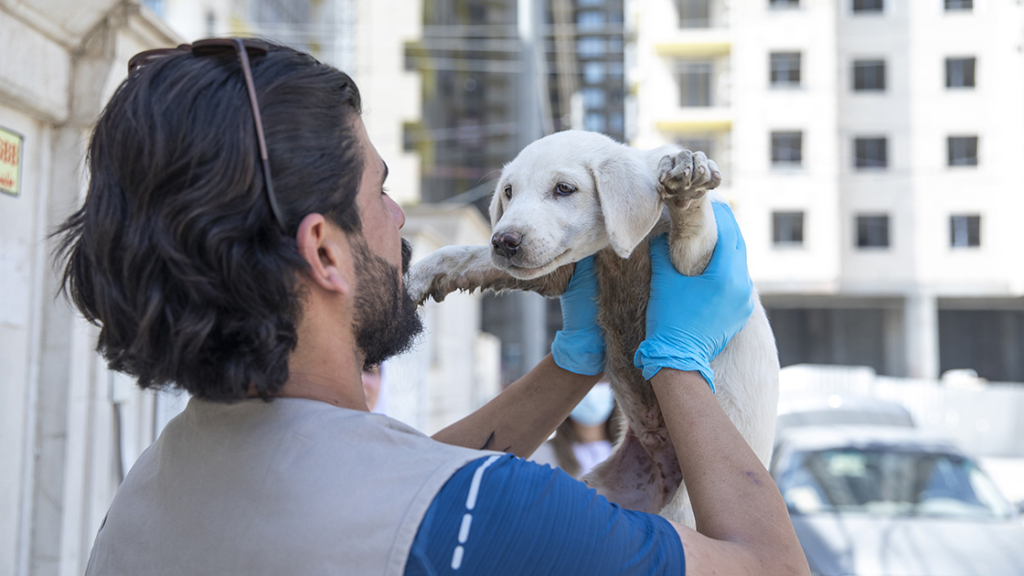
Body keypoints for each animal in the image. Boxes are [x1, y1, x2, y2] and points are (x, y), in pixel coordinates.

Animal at [407, 130, 774, 524]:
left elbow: (693, 229)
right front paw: (421, 275)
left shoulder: (696, 264)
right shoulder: (558, 272)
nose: (503, 242)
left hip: (685, 514)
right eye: (508, 191)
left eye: (564, 189)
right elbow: (465, 254)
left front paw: (686, 187)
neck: (620, 250)